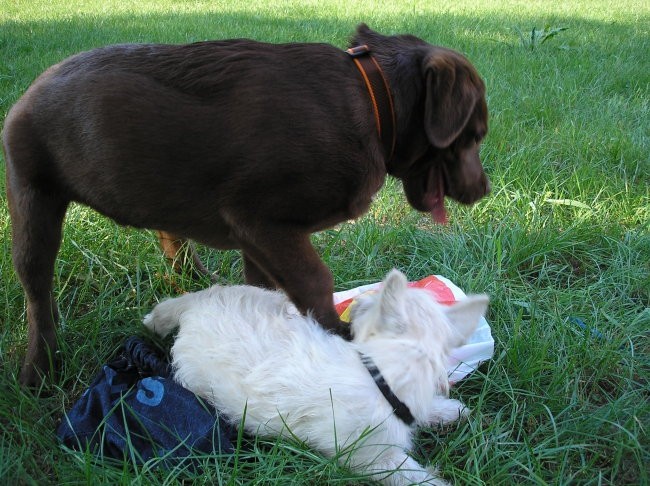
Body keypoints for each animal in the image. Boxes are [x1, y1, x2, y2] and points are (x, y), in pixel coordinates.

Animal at [1, 24, 486, 386]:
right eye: (475, 134)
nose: (483, 189)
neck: (373, 100)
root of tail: (31, 89)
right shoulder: (264, 222)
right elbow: (315, 279)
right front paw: (338, 335)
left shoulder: (258, 237)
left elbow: (262, 288)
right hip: (33, 199)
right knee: (37, 289)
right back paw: (39, 367)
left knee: (171, 239)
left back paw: (196, 279)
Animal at [143, 272, 486, 484]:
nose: (357, 304)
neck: (380, 379)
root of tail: (198, 304)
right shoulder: (373, 459)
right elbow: (416, 478)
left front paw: (447, 411)